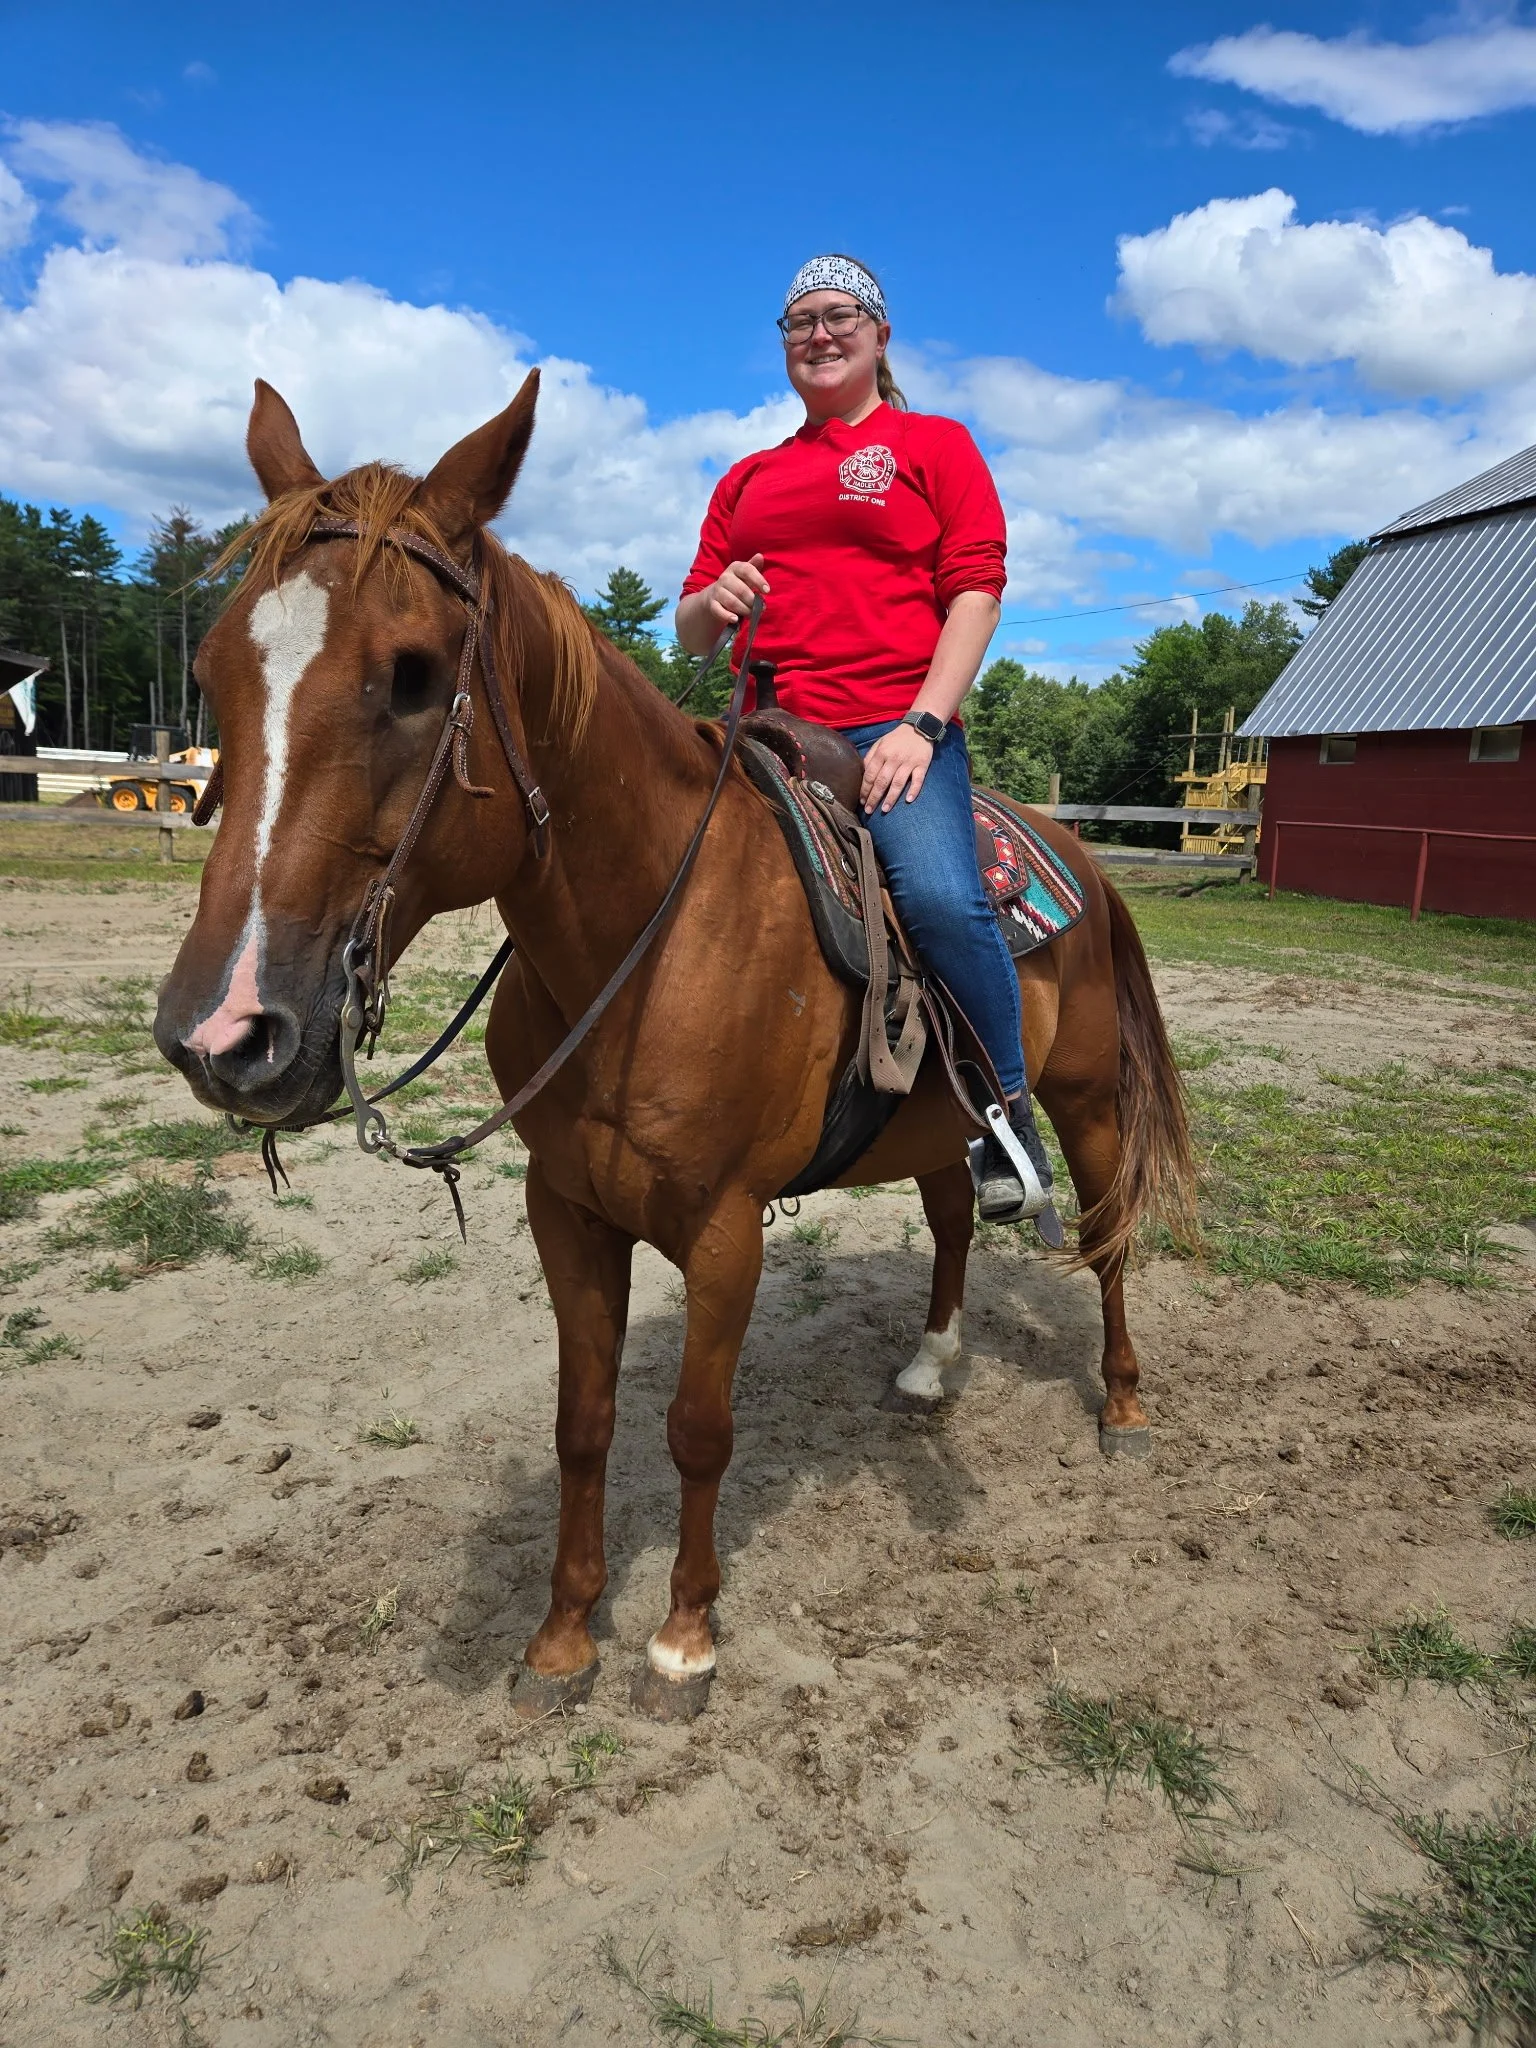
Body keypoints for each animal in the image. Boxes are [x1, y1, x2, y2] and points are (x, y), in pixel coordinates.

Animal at [153, 372, 1196, 1721]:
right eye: (212, 668)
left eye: (414, 673)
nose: (222, 1031)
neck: (648, 938)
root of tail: (1080, 857)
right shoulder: (566, 1209)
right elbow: (583, 1421)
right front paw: (561, 1636)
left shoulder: (723, 1225)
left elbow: (699, 1427)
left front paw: (684, 1634)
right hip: (933, 1119)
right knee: (955, 1220)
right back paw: (931, 1365)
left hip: (1083, 1100)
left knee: (1110, 1230)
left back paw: (1122, 1402)